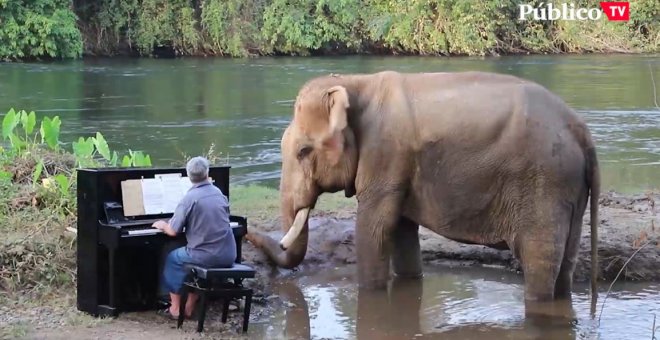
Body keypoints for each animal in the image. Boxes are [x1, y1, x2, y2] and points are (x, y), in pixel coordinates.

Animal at [246, 70, 600, 302]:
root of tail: (582, 131)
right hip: (570, 191)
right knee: (565, 264)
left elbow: (374, 229)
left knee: (540, 262)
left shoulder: (385, 154)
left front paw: (371, 295)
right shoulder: (398, 169)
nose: (247, 232)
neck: (355, 82)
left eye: (303, 151)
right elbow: (402, 231)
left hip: (545, 182)